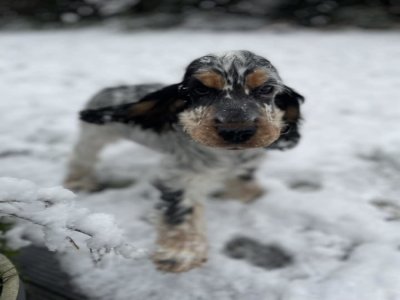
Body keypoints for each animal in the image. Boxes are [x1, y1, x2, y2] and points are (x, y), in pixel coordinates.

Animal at [65, 50, 304, 274]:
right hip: (95, 134)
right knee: (82, 155)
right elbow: (180, 211)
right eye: (201, 89)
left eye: (267, 89)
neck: (229, 155)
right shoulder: (182, 177)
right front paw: (180, 253)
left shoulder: (247, 162)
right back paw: (80, 182)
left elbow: (244, 176)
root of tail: (109, 89)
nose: (236, 131)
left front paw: (245, 194)